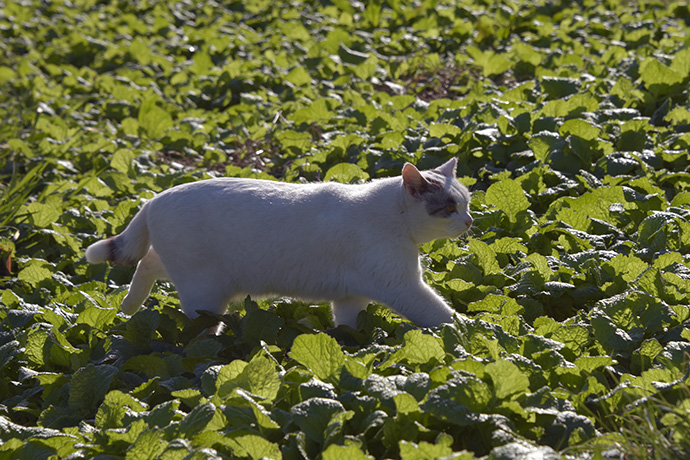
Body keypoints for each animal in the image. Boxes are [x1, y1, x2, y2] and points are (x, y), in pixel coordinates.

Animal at [84, 156, 472, 328]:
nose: (469, 221)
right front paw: (469, 341)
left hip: (193, 276)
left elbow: (346, 327)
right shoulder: (402, 287)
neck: (391, 217)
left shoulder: (352, 297)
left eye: (467, 203)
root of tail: (154, 198)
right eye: (450, 208)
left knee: (145, 262)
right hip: (205, 292)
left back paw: (127, 308)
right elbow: (443, 316)